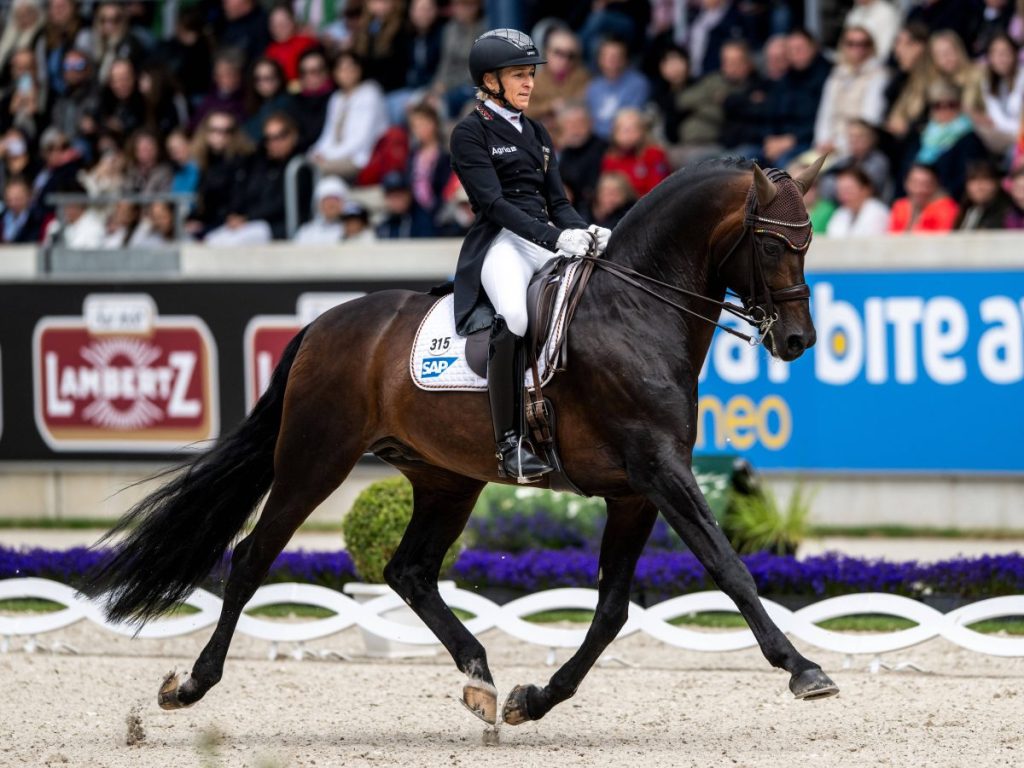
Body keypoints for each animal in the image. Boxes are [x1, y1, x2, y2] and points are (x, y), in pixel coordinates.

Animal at [83, 154, 839, 729]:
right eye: (774, 244)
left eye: (809, 242)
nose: (797, 340)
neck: (635, 310)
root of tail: (324, 324)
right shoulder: (660, 473)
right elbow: (730, 569)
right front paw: (804, 669)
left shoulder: (636, 492)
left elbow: (612, 610)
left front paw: (535, 699)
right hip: (313, 459)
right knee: (250, 560)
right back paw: (191, 685)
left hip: (447, 479)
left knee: (410, 570)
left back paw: (479, 676)